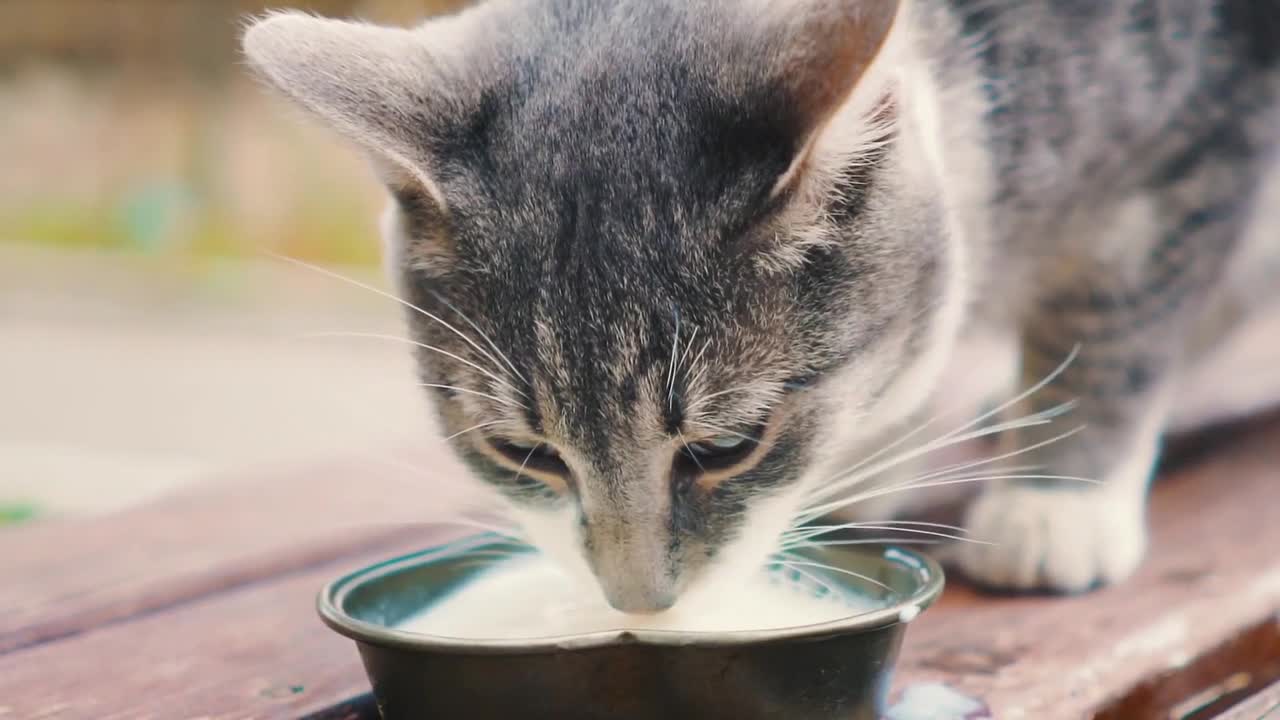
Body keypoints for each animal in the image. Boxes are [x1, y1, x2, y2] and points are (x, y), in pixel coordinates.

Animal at [241, 0, 1280, 609]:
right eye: (524, 454)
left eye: (726, 448)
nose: (640, 606)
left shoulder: (1196, 144)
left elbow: (1116, 322)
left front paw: (1055, 501)